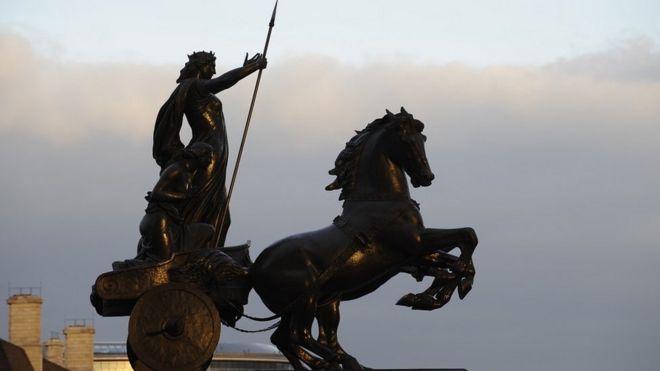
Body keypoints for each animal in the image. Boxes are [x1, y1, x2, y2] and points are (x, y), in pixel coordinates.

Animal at [250, 107, 476, 370]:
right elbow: (468, 235)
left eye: (424, 139)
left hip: (322, 302)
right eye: (408, 140)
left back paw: (342, 362)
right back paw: (337, 361)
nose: (426, 176)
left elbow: (455, 258)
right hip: (307, 299)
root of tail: (253, 270)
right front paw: (439, 291)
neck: (379, 200)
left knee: (291, 338)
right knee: (299, 336)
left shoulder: (414, 254)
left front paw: (432, 294)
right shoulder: (416, 242)